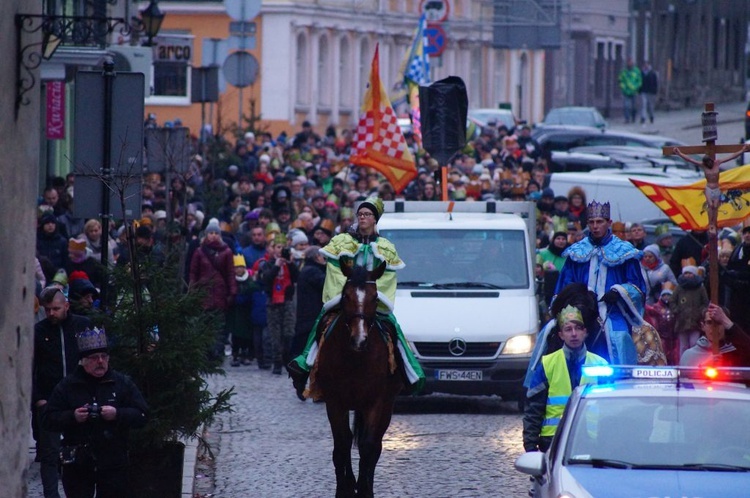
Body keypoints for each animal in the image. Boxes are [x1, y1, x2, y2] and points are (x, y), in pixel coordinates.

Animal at [312, 260, 406, 498]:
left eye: (375, 296)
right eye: (346, 295)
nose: (359, 339)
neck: (356, 359)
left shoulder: (375, 402)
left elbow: (367, 446)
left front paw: (364, 489)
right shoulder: (335, 402)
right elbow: (341, 445)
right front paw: (344, 489)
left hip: (386, 406)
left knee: (375, 446)